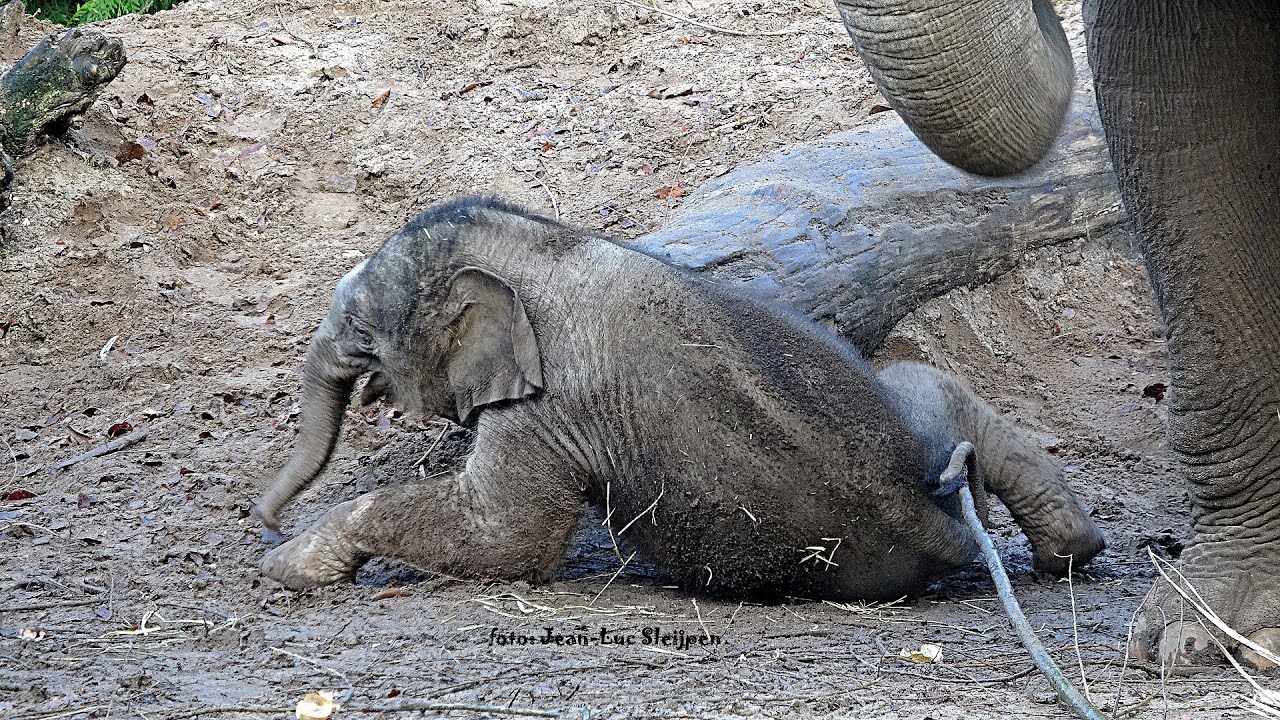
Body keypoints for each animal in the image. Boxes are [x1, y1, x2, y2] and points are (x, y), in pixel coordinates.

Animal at [254, 196, 1103, 600]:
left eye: (362, 328)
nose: (264, 520)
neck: (532, 241)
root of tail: (944, 518)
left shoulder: (547, 410)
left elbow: (506, 540)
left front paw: (287, 568)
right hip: (909, 413)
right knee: (937, 388)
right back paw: (1074, 554)